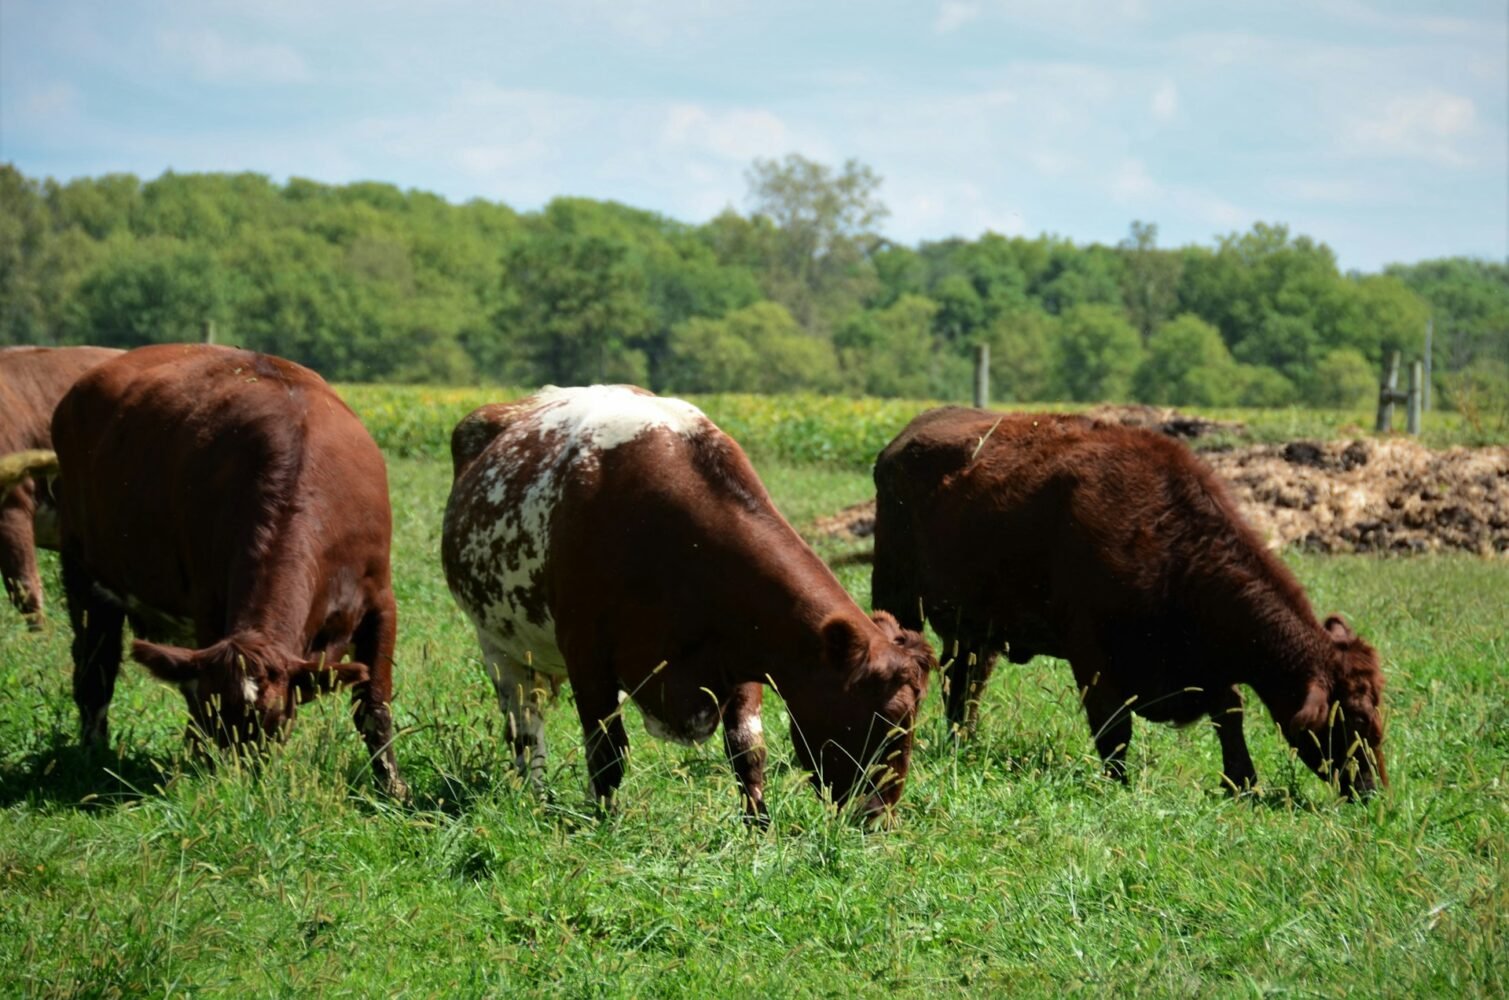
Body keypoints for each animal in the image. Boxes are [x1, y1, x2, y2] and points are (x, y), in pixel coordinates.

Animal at [31, 343, 405, 796]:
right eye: (218, 721)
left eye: (274, 720)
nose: (240, 785)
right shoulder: (209, 605)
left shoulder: (381, 601)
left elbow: (374, 708)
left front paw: (393, 790)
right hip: (82, 572)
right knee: (95, 671)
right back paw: (93, 758)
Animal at [441, 385, 935, 822]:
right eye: (884, 718)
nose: (878, 817)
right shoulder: (585, 652)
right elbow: (607, 752)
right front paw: (604, 823)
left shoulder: (742, 651)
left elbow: (748, 749)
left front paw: (758, 827)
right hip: (501, 648)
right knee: (525, 727)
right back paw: (535, 796)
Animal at [872, 407, 1385, 800]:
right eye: (1354, 718)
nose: (1373, 791)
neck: (1170, 544)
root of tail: (901, 441)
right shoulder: (1092, 656)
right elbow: (1115, 729)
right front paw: (1120, 784)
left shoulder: (1204, 665)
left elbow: (1230, 713)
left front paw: (1242, 784)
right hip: (900, 598)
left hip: (974, 630)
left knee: (965, 684)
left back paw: (964, 742)